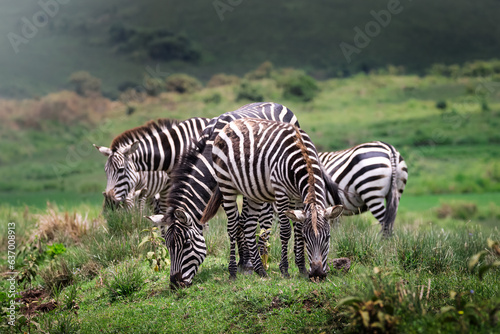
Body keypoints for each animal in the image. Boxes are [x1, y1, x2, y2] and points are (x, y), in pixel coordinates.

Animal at [145, 102, 320, 288]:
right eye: (168, 246)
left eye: (186, 244)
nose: (175, 284)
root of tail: (276, 103)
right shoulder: (224, 189)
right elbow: (238, 224)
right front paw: (244, 263)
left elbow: (240, 223)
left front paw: (246, 264)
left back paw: (295, 263)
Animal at [199, 118, 344, 280]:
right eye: (307, 239)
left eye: (328, 237)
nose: (317, 274)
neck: (302, 154)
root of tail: (230, 124)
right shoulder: (281, 192)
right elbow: (286, 231)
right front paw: (285, 269)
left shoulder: (299, 198)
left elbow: (298, 229)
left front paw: (302, 268)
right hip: (226, 184)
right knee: (232, 226)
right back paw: (233, 272)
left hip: (252, 191)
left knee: (249, 225)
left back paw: (260, 269)